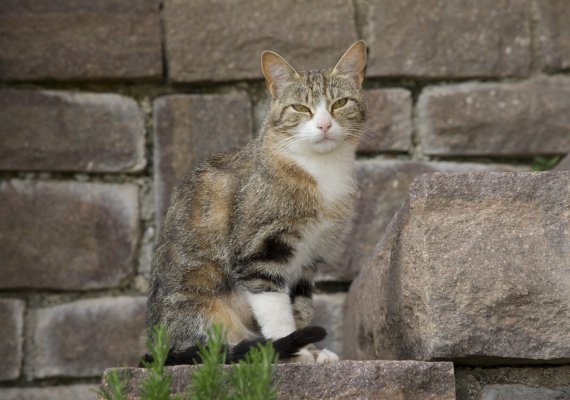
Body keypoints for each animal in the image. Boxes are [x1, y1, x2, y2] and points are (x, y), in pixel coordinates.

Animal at [144, 41, 366, 366]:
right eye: (301, 108)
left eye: (340, 103)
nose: (324, 124)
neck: (320, 170)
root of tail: (160, 351)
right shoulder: (259, 250)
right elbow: (275, 306)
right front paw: (293, 351)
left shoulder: (309, 258)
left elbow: (300, 306)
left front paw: (311, 350)